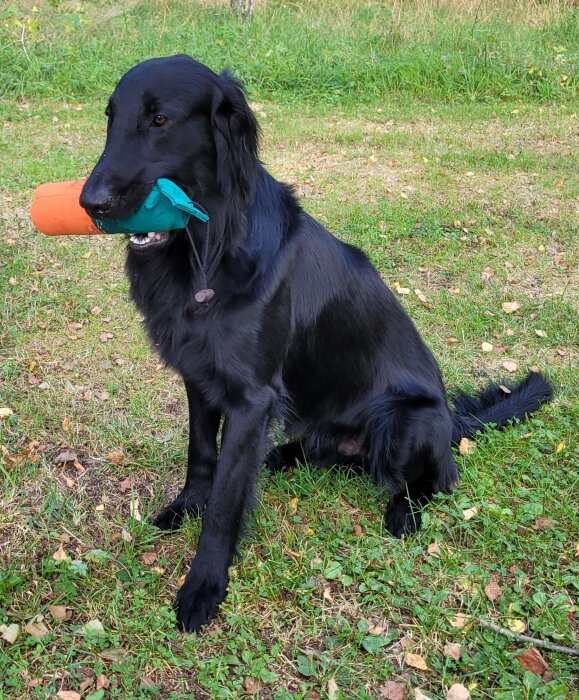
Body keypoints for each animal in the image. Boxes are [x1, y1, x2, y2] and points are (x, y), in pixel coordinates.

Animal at [80, 56, 552, 636]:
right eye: (111, 118)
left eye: (160, 120)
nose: (90, 204)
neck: (207, 250)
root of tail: (453, 419)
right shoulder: (199, 377)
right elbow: (202, 455)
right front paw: (183, 507)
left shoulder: (251, 398)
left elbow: (226, 501)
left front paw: (204, 586)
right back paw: (285, 455)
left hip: (406, 420)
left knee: (436, 479)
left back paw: (403, 511)